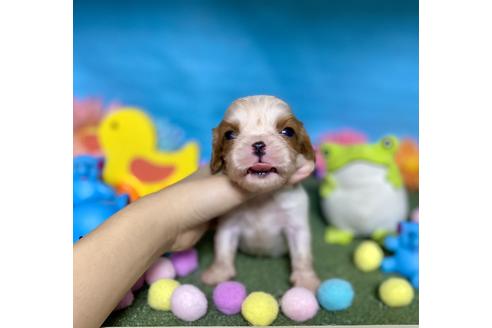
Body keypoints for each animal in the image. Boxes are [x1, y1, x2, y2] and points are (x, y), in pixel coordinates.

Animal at [202, 95, 320, 292]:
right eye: (229, 134)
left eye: (288, 131)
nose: (258, 144)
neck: (262, 196)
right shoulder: (229, 225)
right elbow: (223, 249)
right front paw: (219, 272)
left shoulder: (296, 225)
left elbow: (301, 255)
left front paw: (305, 280)